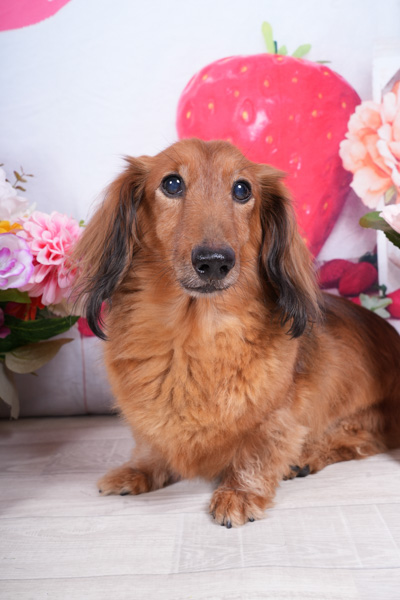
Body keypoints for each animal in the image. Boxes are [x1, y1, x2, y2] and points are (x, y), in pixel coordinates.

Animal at [73, 138, 400, 528]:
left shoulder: (277, 416)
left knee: (361, 436)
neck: (193, 336)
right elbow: (152, 442)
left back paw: (306, 456)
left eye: (242, 189)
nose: (214, 261)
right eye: (172, 183)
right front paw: (138, 469)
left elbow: (257, 451)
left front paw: (240, 493)